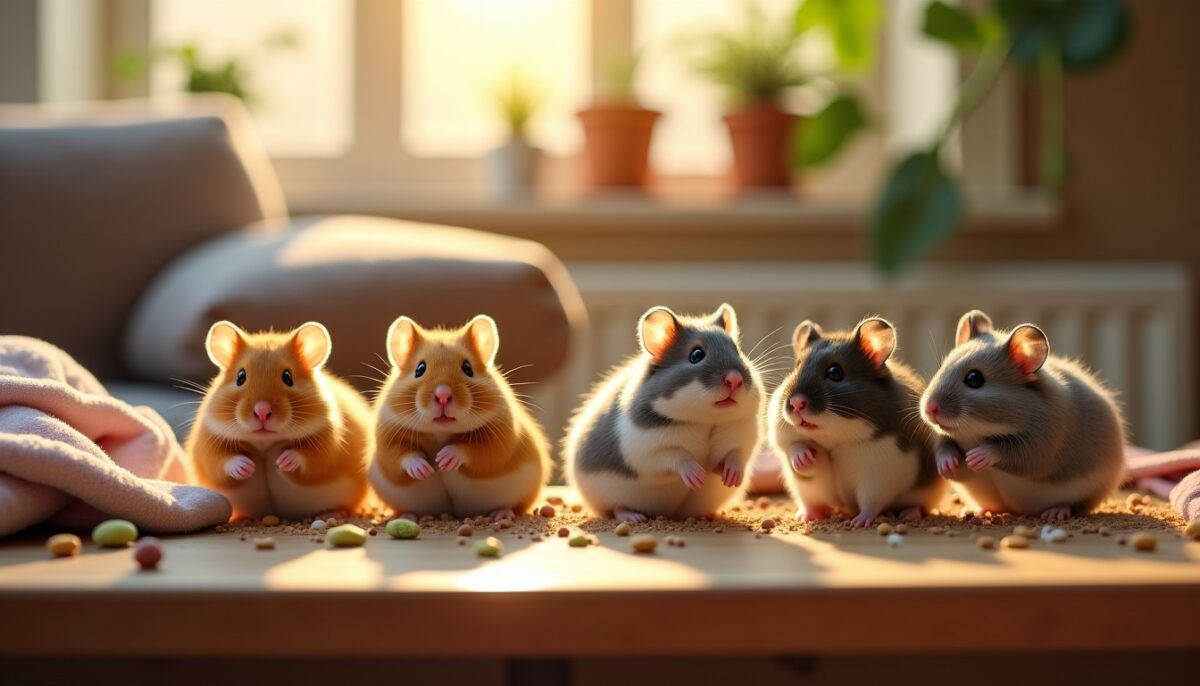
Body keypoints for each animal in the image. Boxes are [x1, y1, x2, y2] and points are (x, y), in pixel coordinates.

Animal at [187, 321, 372, 520]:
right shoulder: (209, 443)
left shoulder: (328, 445)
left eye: (287, 377)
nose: (262, 411)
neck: (265, 442)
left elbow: (308, 458)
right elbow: (222, 461)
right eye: (240, 377)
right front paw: (247, 467)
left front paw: (282, 461)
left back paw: (331, 514)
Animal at [369, 315, 550, 521]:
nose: (443, 395)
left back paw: (501, 514)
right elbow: (402, 456)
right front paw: (425, 469)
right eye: (420, 369)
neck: (440, 430)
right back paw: (408, 516)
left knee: (512, 506)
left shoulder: (500, 439)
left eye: (467, 368)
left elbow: (474, 449)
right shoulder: (387, 438)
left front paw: (443, 460)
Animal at [565, 304, 763, 522]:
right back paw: (634, 517)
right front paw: (698, 477)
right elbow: (677, 457)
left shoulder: (742, 439)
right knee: (615, 508)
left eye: (737, 350)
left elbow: (734, 456)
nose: (735, 380)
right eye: (696, 355)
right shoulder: (650, 449)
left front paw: (732, 478)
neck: (706, 421)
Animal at [768, 317, 943, 527]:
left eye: (835, 372)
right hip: (808, 492)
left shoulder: (879, 474)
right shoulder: (790, 442)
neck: (837, 438)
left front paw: (858, 523)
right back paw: (806, 516)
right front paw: (806, 458)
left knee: (919, 506)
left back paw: (908, 514)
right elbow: (796, 448)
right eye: (797, 366)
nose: (795, 403)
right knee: (813, 503)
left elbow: (870, 503)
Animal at [920, 310, 1125, 520]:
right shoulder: (948, 444)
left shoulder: (1041, 445)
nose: (929, 408)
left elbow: (1007, 451)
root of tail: (1020, 510)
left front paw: (976, 457)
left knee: (1075, 506)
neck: (976, 431)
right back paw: (979, 511)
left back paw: (1055, 512)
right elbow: (946, 449)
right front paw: (947, 465)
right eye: (942, 367)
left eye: (974, 379)